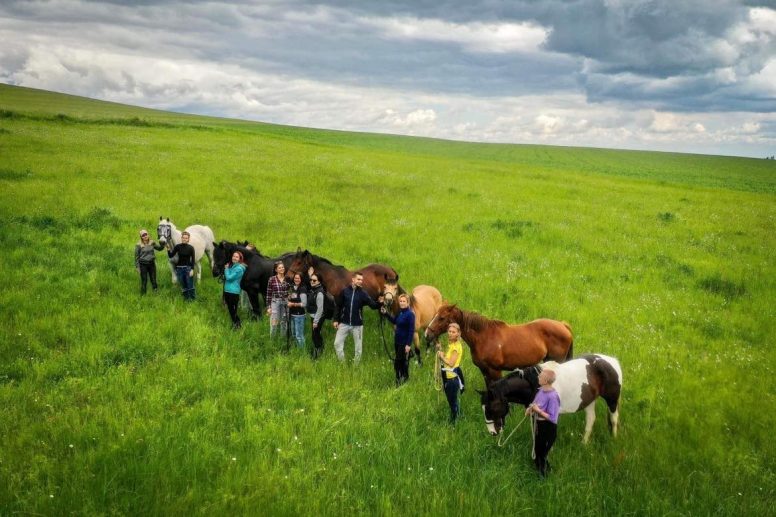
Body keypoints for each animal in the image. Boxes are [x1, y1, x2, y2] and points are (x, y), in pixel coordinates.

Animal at [422, 304, 572, 384]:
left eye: (441, 318)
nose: (427, 334)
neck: (484, 338)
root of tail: (563, 325)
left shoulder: (495, 371)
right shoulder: (484, 371)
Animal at [478, 352, 624, 442]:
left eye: (493, 407)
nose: (492, 432)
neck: (536, 384)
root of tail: (613, 361)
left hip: (612, 399)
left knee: (614, 418)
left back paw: (614, 439)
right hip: (589, 400)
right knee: (591, 420)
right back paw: (584, 443)